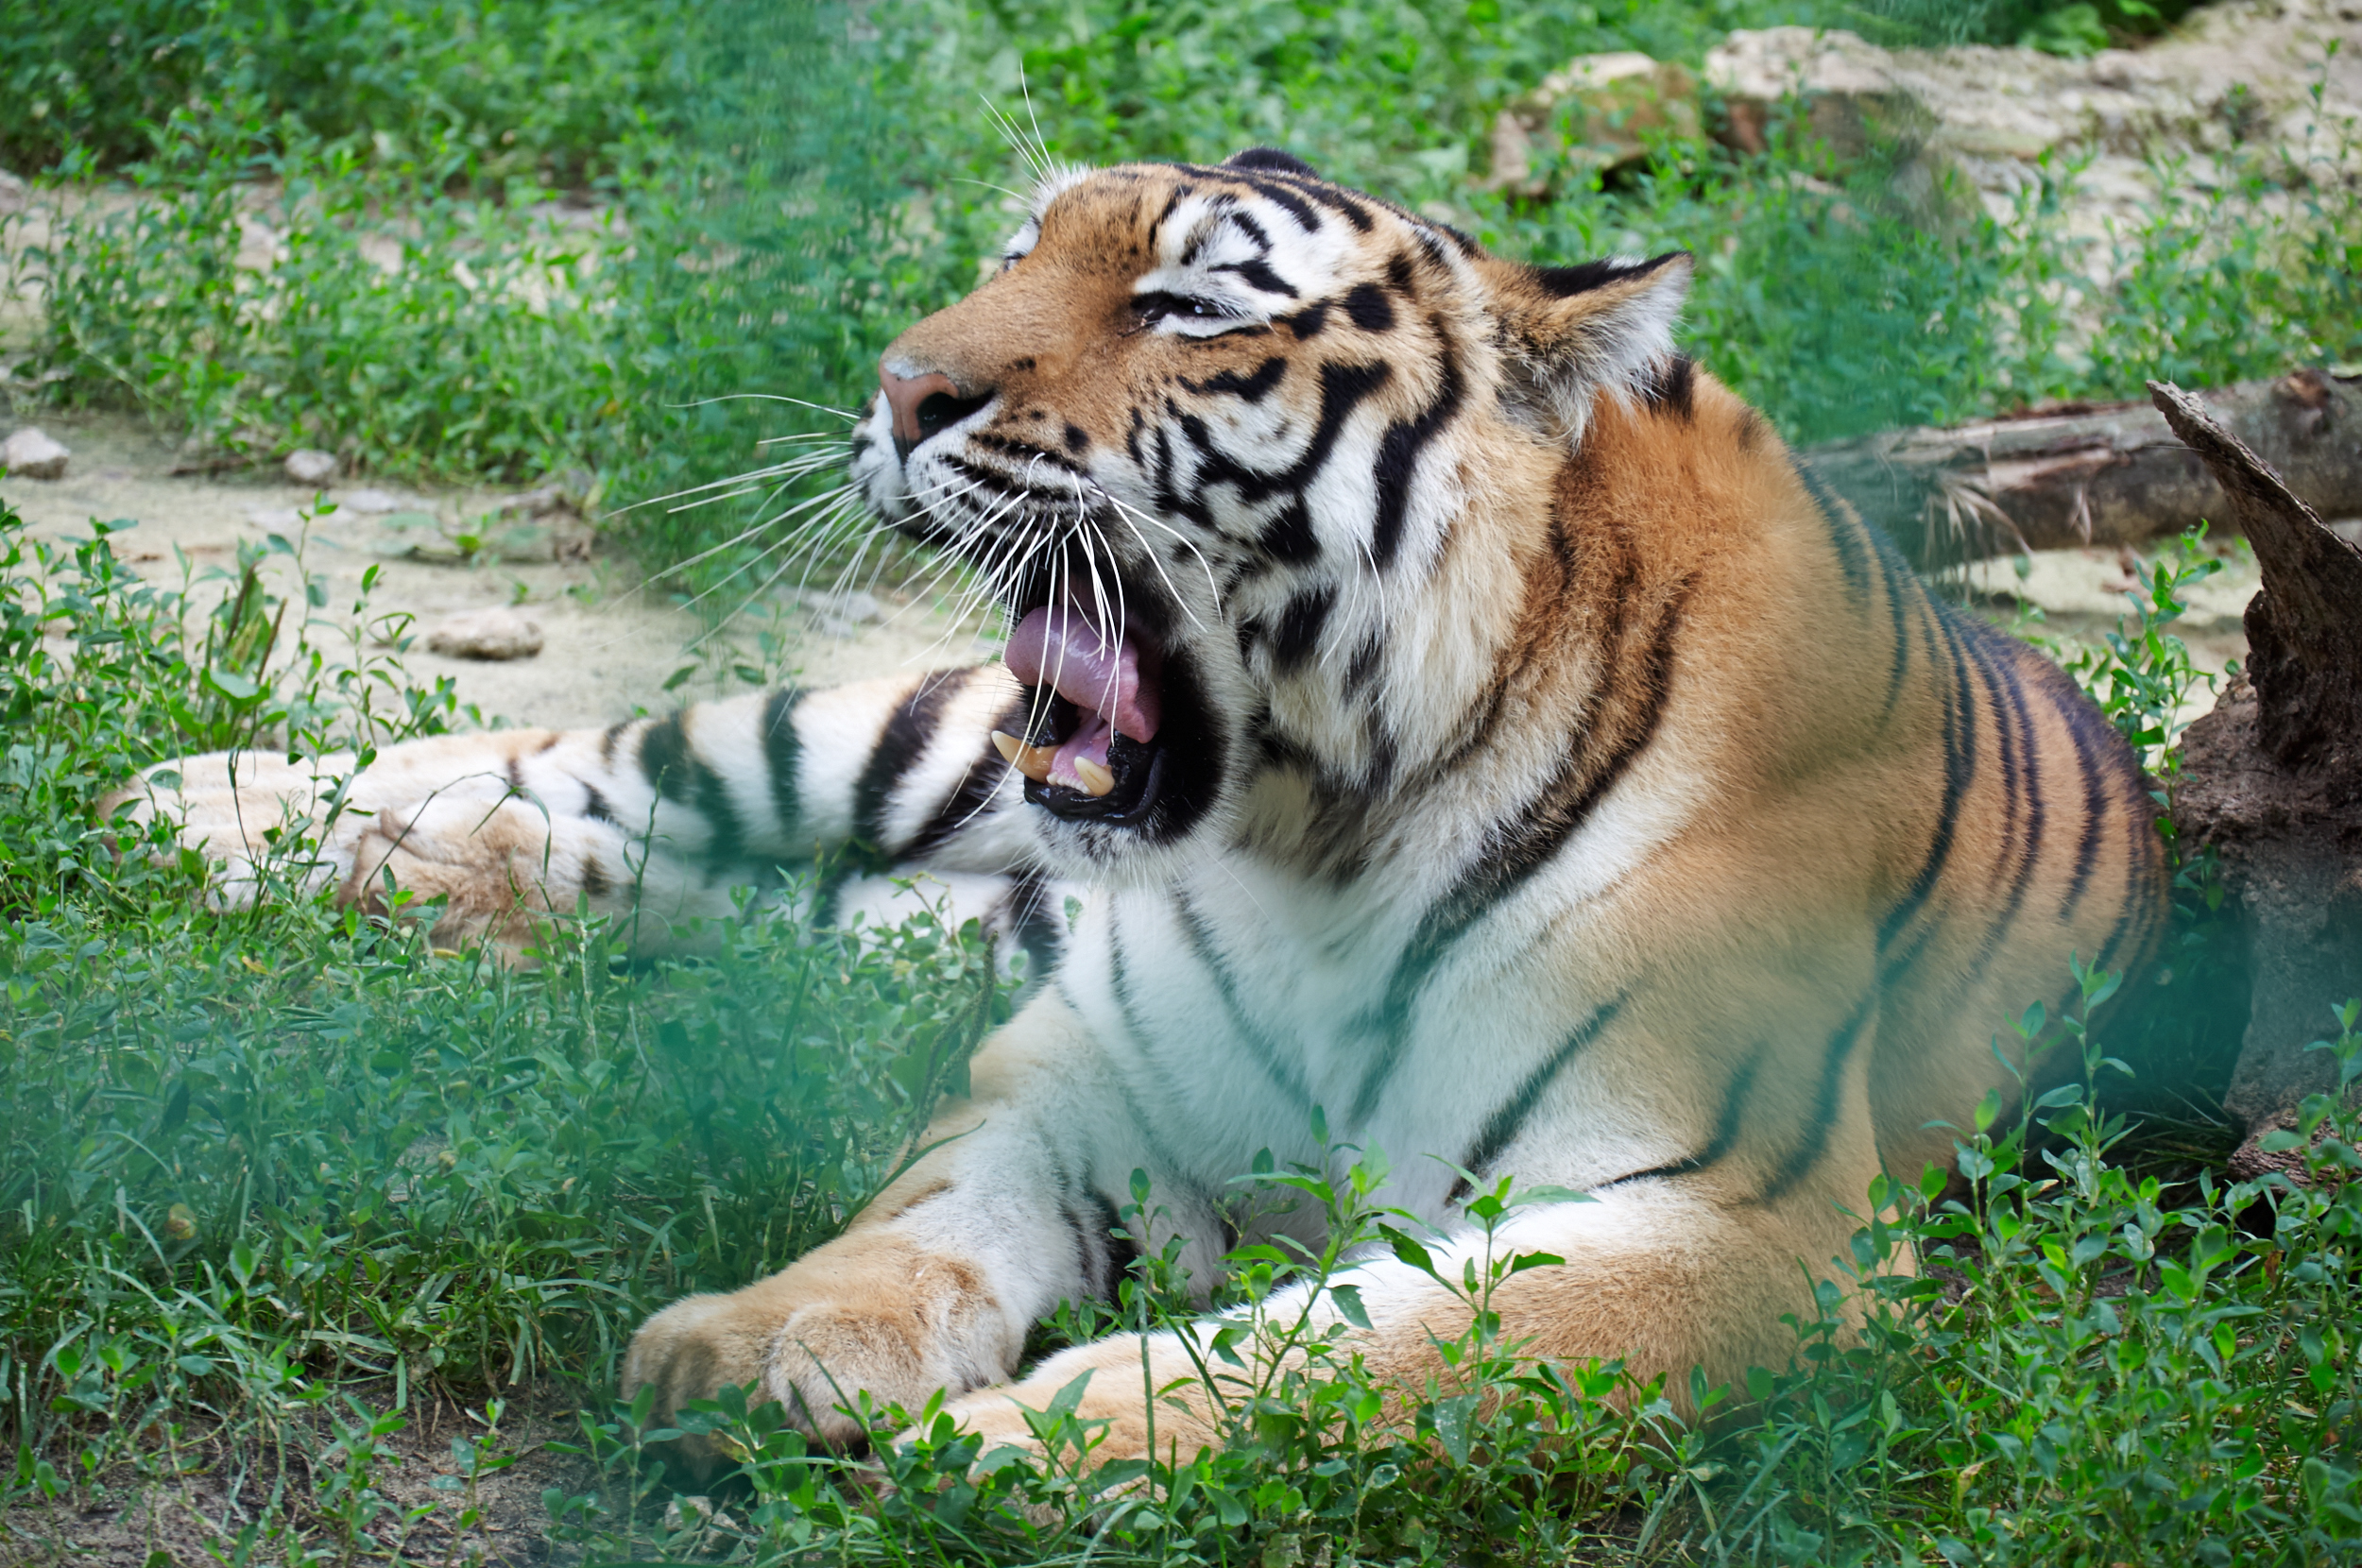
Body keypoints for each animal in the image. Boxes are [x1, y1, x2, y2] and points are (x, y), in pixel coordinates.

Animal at [119, 149, 2164, 1474]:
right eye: (1015, 249)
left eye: (1183, 306)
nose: (898, 390)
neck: (1322, 845)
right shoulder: (1076, 1070)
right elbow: (913, 1223)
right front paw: (758, 1338)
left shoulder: (1741, 1223)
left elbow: (1358, 1352)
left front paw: (1011, 1446)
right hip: (910, 735)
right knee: (649, 752)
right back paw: (227, 807)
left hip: (941, 914)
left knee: (745, 896)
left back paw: (422, 877)